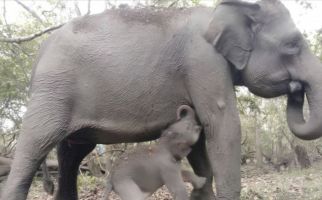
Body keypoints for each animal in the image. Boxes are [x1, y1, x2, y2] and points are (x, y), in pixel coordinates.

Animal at [1, 0, 320, 200]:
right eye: (292, 44)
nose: (296, 88)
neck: (222, 11)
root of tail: (40, 53)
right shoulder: (203, 62)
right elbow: (222, 124)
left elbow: (201, 141)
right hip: (51, 94)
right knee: (35, 146)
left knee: (71, 154)